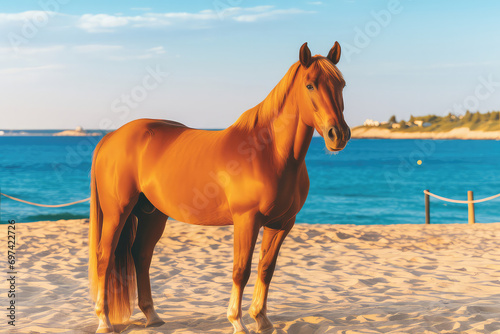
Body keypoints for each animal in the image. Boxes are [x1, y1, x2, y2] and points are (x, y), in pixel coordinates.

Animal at [89, 42, 348, 334]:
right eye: (310, 85)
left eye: (341, 84)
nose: (338, 135)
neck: (269, 153)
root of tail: (111, 137)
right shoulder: (247, 220)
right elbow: (241, 270)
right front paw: (237, 321)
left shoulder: (282, 224)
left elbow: (266, 269)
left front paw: (262, 319)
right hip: (117, 213)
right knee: (104, 257)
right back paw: (104, 320)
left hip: (152, 214)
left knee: (141, 255)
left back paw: (152, 316)